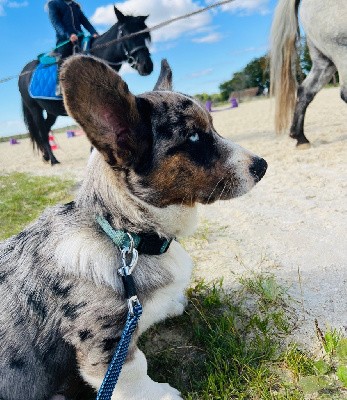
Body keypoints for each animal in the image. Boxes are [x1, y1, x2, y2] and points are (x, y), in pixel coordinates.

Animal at [0, 57, 268, 400]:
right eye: (193, 137)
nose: (262, 165)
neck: (126, 232)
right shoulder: (104, 341)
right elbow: (132, 371)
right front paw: (160, 394)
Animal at [18, 7, 153, 165]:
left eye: (145, 35)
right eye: (125, 34)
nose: (146, 66)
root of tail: (24, 72)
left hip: (51, 112)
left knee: (44, 129)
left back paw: (46, 156)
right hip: (35, 110)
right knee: (42, 132)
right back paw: (53, 159)